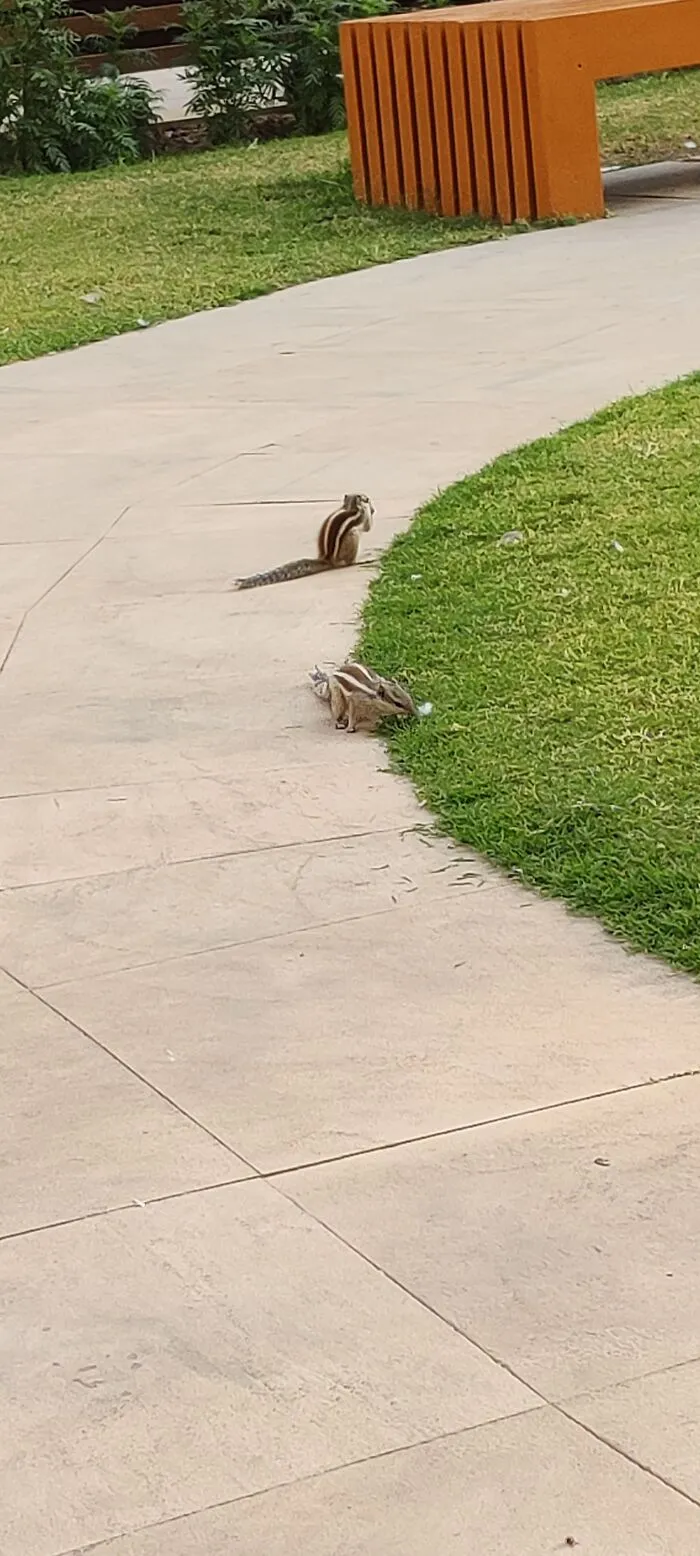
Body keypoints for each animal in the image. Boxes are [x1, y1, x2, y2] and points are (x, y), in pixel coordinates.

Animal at [232, 494, 375, 590]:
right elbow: (367, 527)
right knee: (349, 562)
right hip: (352, 537)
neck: (350, 506)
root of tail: (327, 559)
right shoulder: (362, 516)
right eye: (365, 498)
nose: (372, 506)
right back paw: (361, 560)